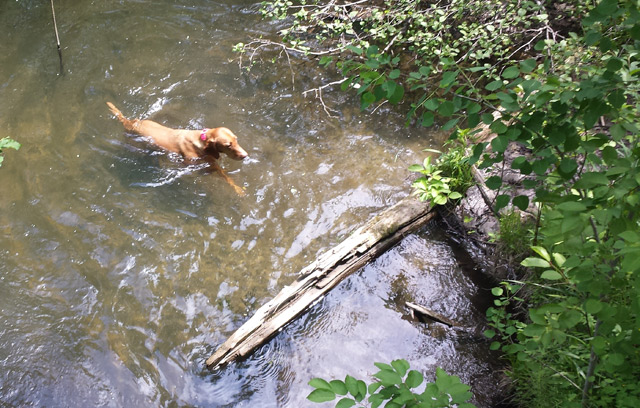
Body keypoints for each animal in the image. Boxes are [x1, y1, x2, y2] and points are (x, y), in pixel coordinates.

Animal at [105, 103, 248, 196]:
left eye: (236, 139)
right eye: (228, 145)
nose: (245, 155)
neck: (201, 140)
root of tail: (129, 122)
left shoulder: (211, 163)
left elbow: (227, 177)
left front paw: (238, 189)